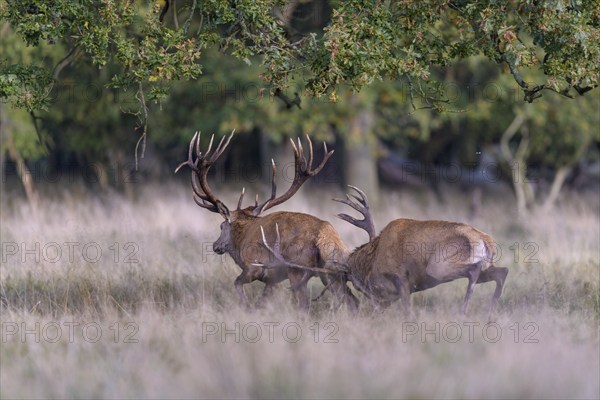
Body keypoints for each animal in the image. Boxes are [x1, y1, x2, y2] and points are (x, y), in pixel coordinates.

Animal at [176, 131, 358, 312]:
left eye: (221, 226)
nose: (216, 245)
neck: (241, 239)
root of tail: (325, 236)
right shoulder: (273, 279)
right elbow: (261, 301)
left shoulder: (254, 266)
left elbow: (237, 284)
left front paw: (245, 307)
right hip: (331, 271)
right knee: (351, 300)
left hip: (298, 269)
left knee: (304, 305)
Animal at [262, 185, 506, 318]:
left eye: (335, 277)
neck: (370, 262)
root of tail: (487, 241)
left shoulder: (401, 280)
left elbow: (407, 310)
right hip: (485, 265)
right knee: (501, 272)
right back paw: (490, 311)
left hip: (439, 266)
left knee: (475, 270)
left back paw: (465, 310)